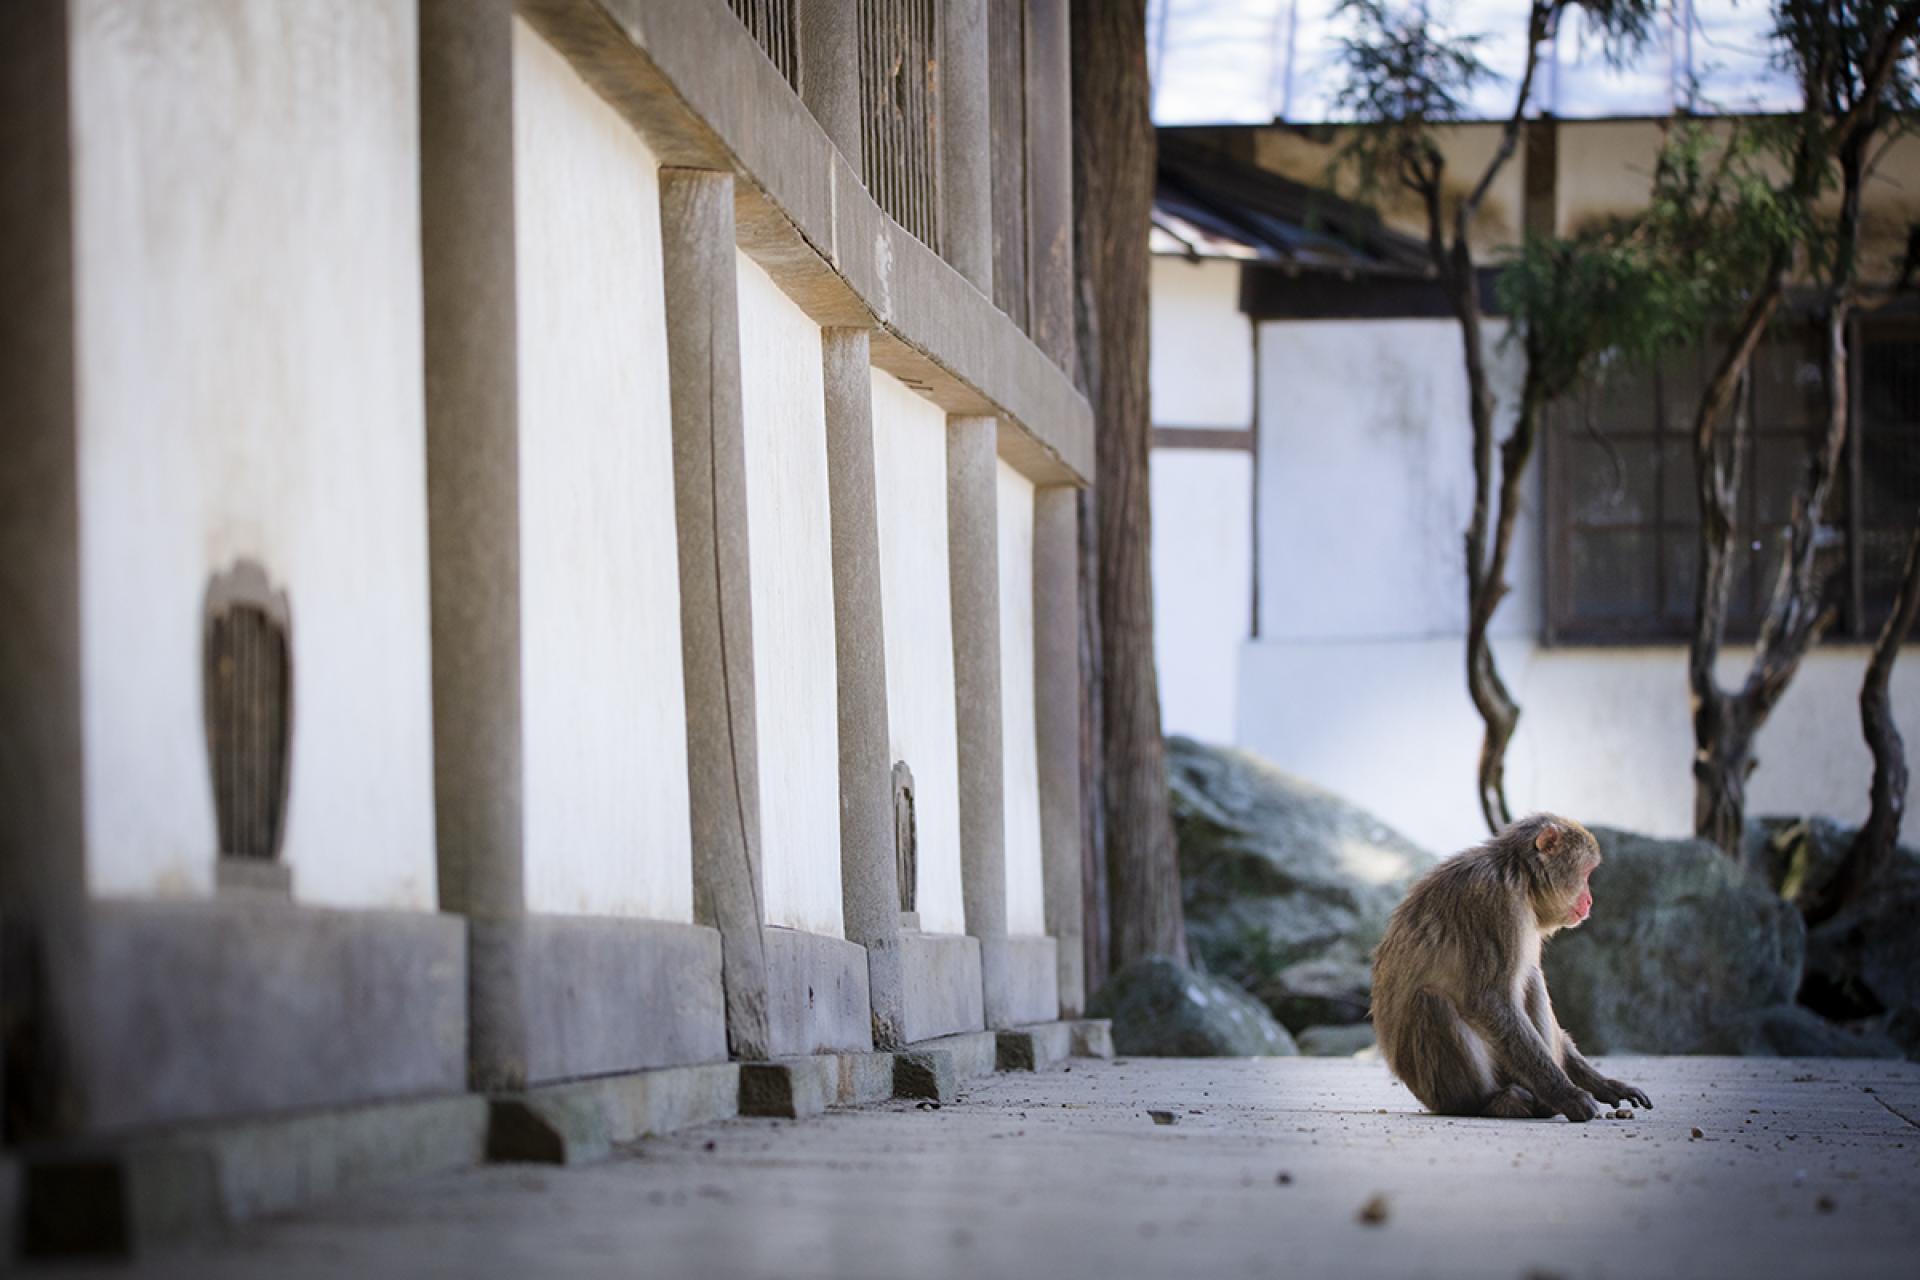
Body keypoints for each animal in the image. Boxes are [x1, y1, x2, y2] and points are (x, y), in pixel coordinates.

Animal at [1371, 814, 1652, 1122]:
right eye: (1586, 873)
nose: (1589, 900)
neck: (1520, 877)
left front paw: (1604, 1084)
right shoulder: (1494, 904)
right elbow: (1489, 1001)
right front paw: (1568, 1095)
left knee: (1531, 977)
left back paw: (1540, 1104)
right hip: (1436, 1090)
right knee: (1431, 1002)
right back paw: (1488, 1103)